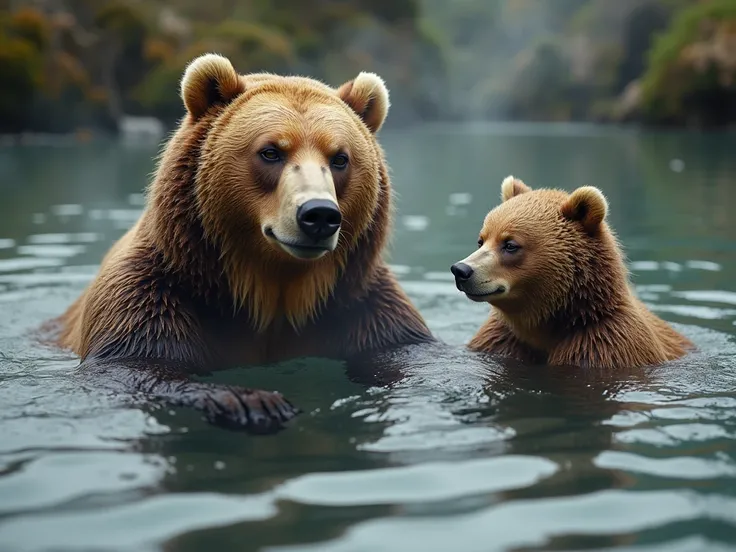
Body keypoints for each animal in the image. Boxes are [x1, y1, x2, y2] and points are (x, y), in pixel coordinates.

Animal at [49, 52, 434, 432]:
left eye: (340, 158)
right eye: (271, 152)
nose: (319, 215)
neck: (268, 289)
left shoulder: (362, 306)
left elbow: (411, 354)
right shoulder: (152, 296)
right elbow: (136, 365)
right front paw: (250, 401)